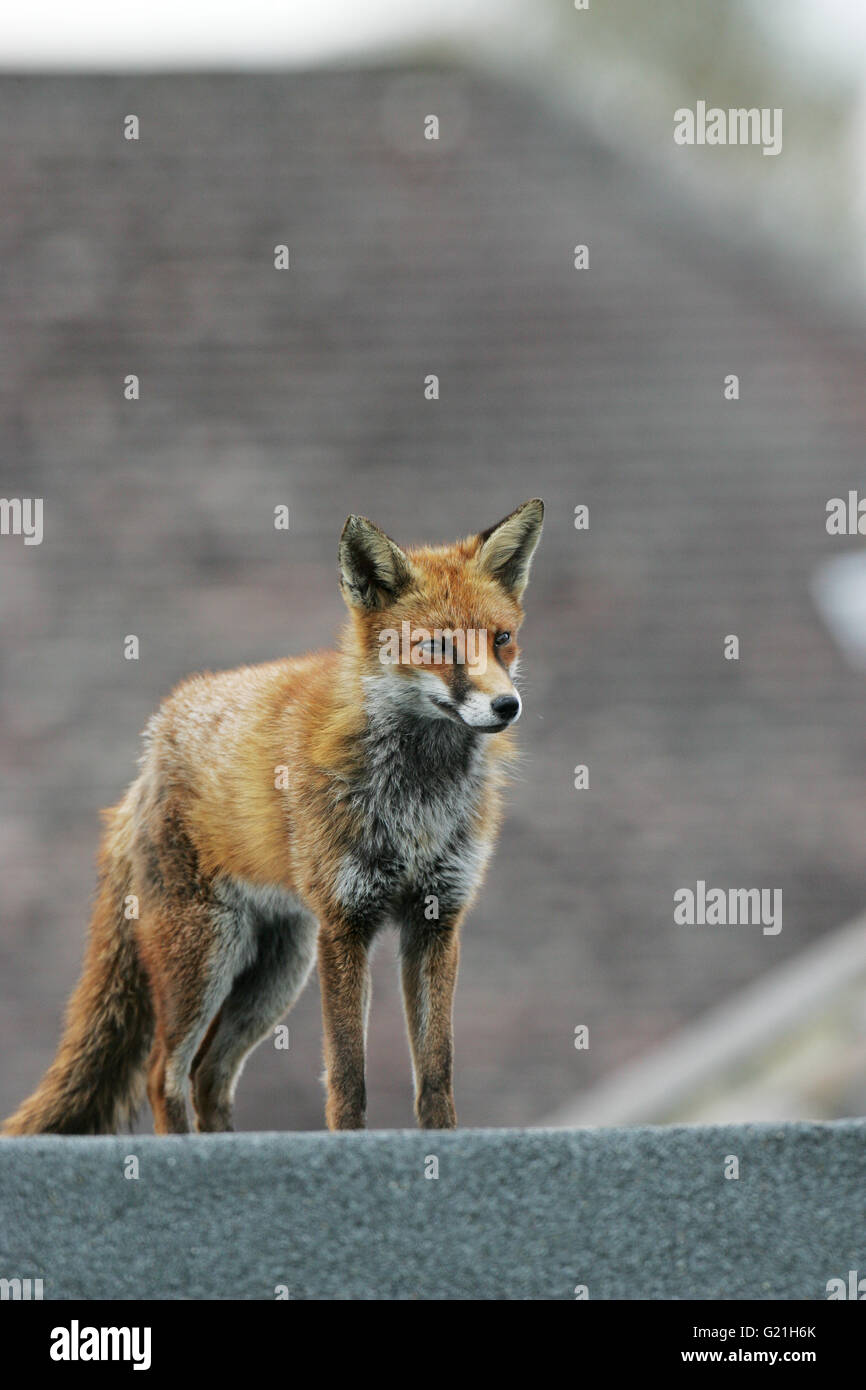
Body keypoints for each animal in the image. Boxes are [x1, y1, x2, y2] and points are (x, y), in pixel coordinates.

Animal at [3, 498, 544, 1136]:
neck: (417, 799)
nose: (507, 706)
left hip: (275, 972)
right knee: (164, 1074)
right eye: (436, 648)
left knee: (208, 1076)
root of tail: (146, 762)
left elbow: (436, 1073)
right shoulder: (345, 923)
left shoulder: (436, 919)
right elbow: (347, 1076)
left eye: (502, 639)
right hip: (205, 957)